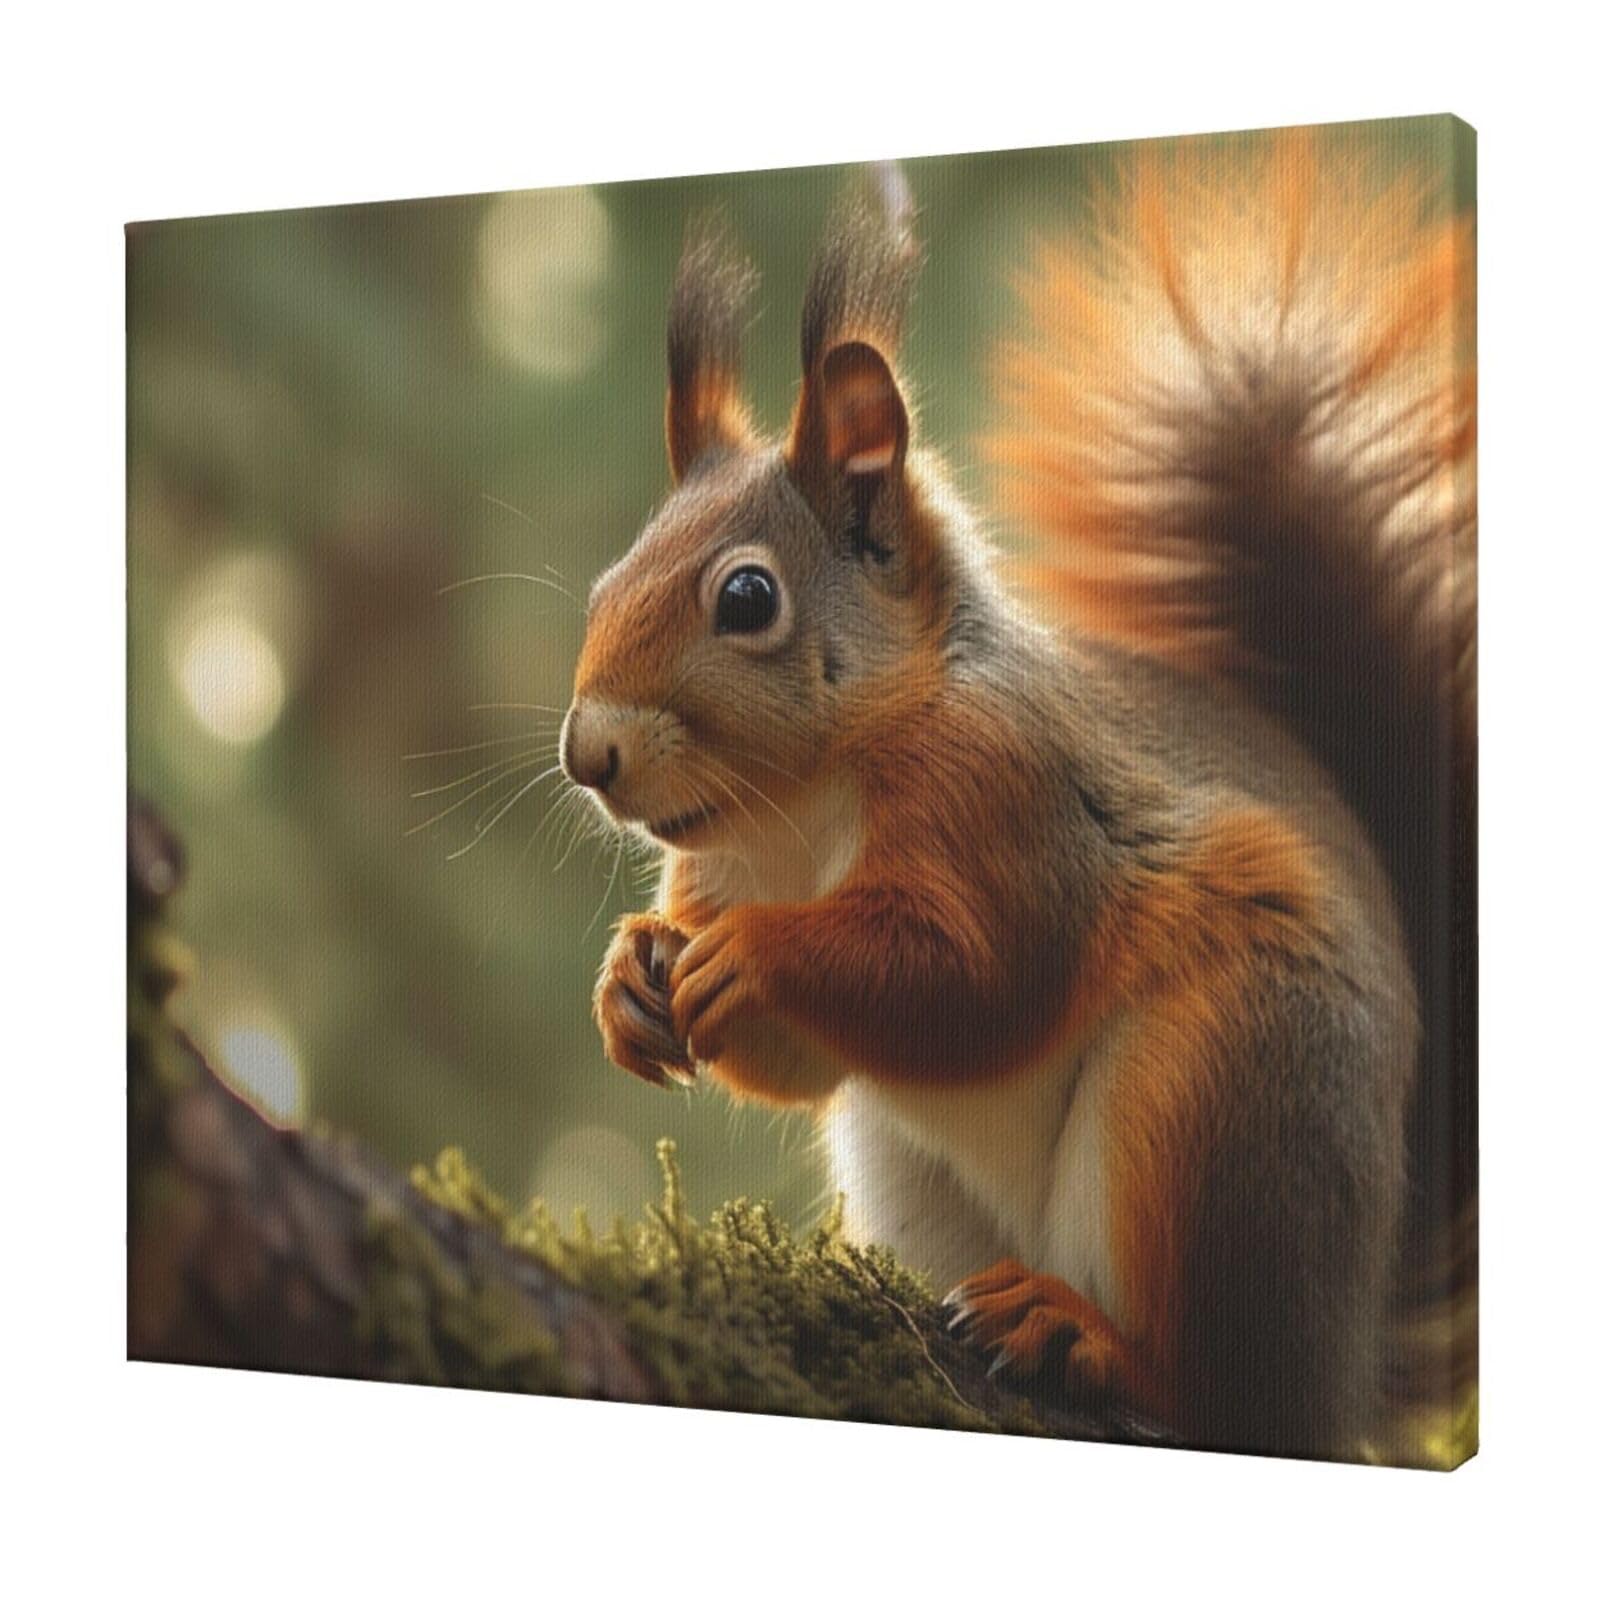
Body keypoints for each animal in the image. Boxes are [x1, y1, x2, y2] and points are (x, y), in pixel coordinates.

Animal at [559, 128, 1476, 1461]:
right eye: (603, 585)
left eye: (746, 598)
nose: (588, 753)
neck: (801, 809)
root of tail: (1343, 1369)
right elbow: (802, 1061)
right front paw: (632, 978)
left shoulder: (1013, 799)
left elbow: (977, 973)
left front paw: (759, 955)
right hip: (917, 1172)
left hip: (1217, 1095)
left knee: (1216, 1388)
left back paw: (1088, 1338)